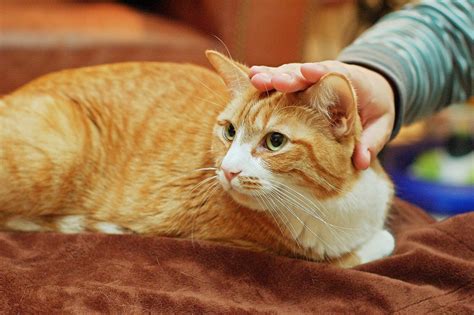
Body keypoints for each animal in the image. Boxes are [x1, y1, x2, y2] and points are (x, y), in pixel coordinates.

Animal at [0, 50, 394, 268]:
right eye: (230, 131)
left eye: (275, 141)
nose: (228, 170)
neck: (330, 202)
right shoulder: (245, 244)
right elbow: (360, 252)